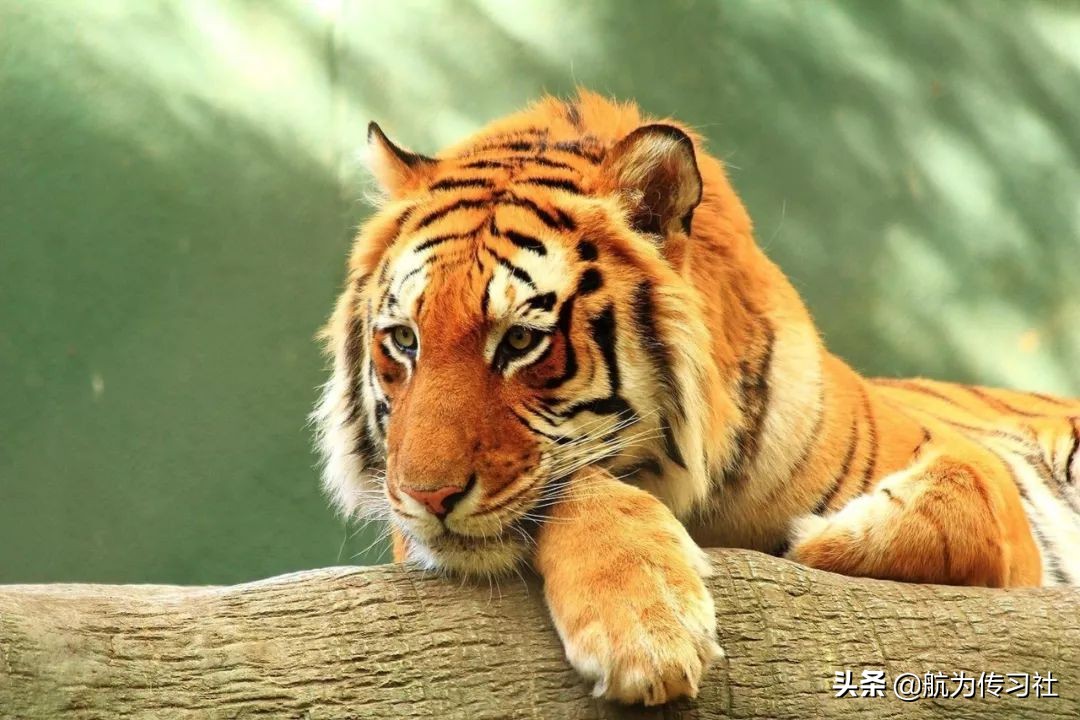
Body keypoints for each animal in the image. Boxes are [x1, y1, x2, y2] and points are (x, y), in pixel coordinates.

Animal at [314, 90, 1080, 706]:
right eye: (404, 340)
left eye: (522, 341)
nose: (425, 497)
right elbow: (578, 485)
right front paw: (645, 632)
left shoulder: (969, 472)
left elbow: (965, 496)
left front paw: (817, 539)